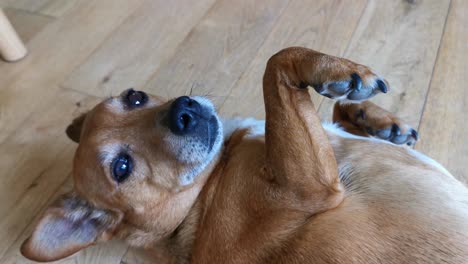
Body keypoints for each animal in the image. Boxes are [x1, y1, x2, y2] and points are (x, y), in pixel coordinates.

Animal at [20, 48, 466, 264]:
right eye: (121, 168)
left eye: (134, 96)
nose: (183, 111)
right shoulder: (308, 188)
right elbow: (276, 63)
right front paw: (335, 72)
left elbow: (335, 108)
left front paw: (376, 120)